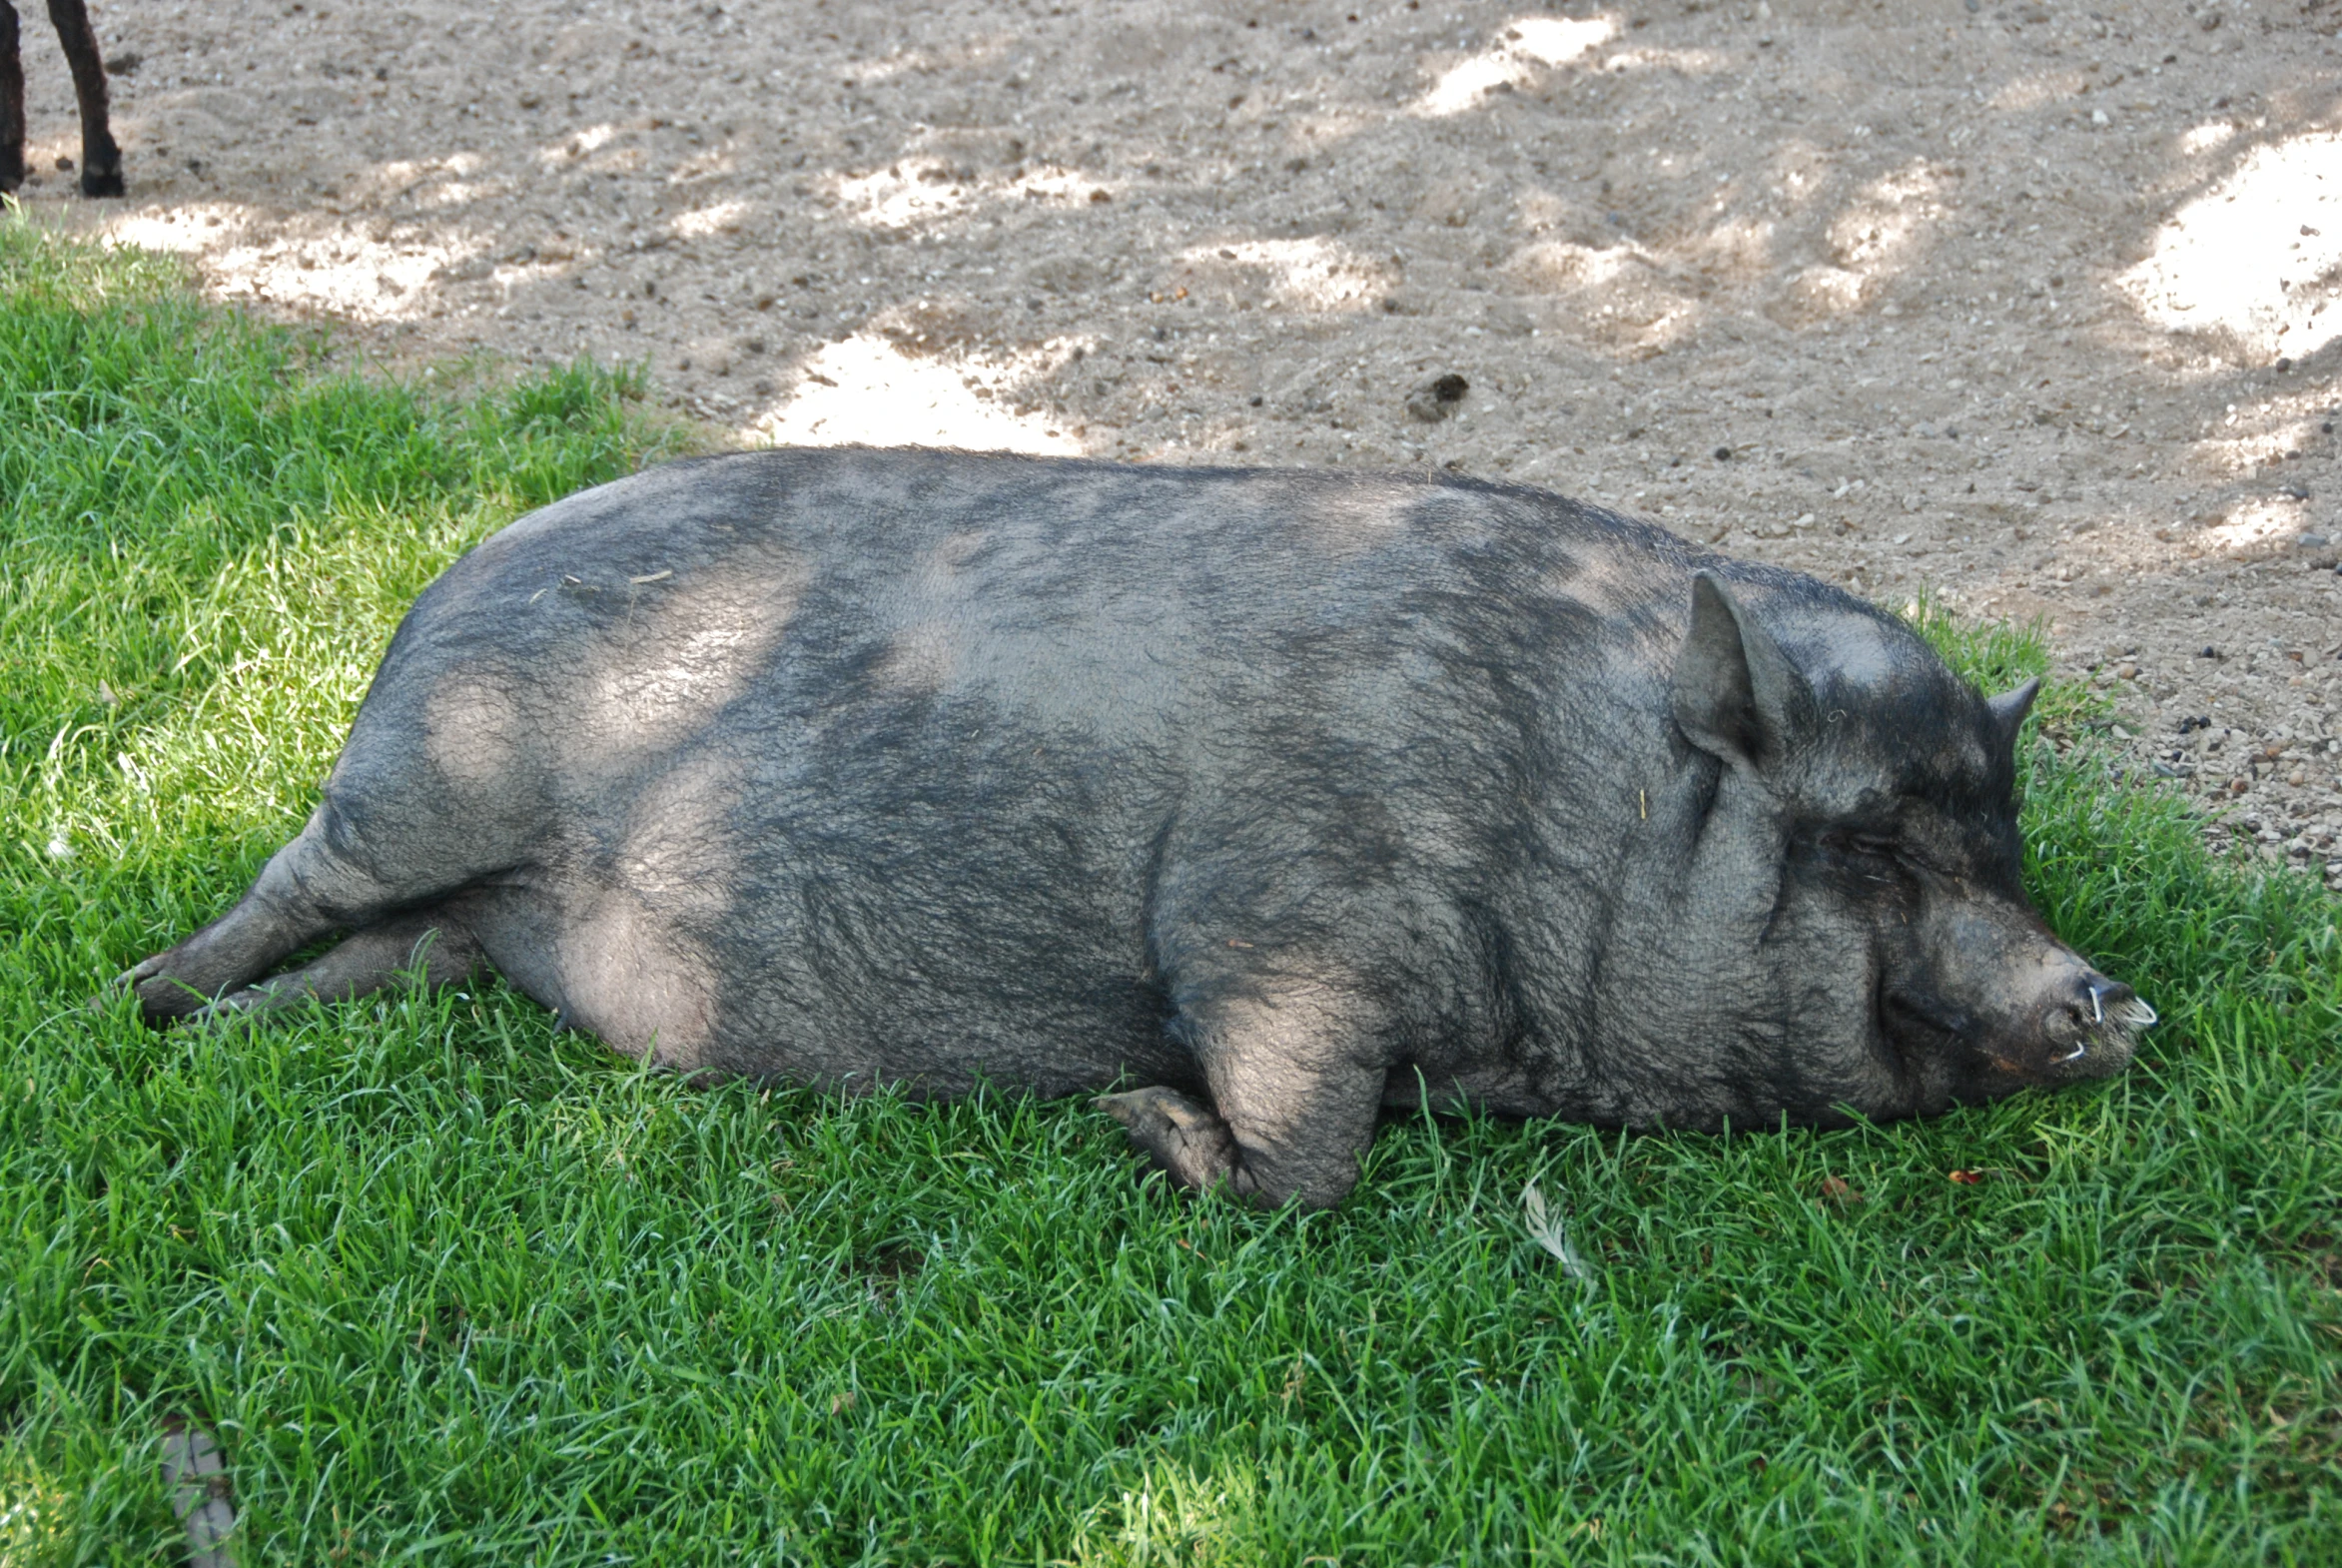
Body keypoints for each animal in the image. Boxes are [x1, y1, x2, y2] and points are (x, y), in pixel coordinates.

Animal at [119, 448, 2145, 1207]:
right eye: (1867, 849)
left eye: (2003, 847)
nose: (2106, 996)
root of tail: (446, 578)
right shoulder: (1275, 927)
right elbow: (1308, 1153)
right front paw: (1130, 1116)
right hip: (419, 777)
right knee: (295, 882)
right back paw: (144, 998)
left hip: (476, 904)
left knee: (409, 955)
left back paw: (232, 1023)